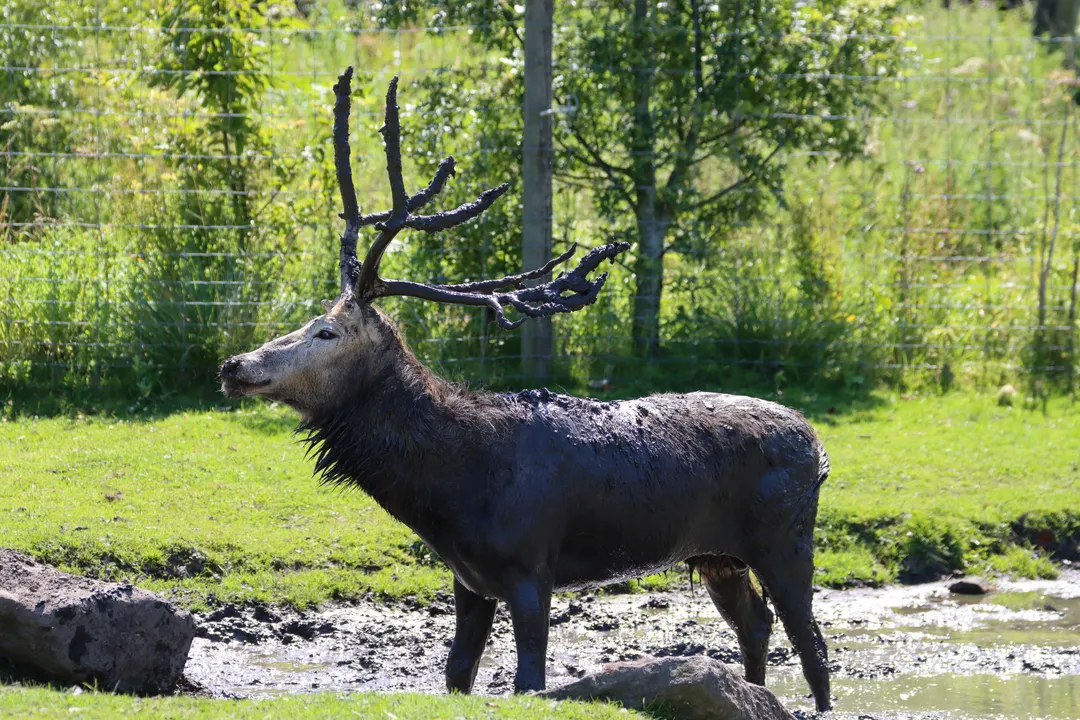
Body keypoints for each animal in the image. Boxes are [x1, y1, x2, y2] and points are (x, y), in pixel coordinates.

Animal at [219, 67, 832, 712]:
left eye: (326, 330)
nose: (234, 364)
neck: (450, 492)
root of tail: (819, 450)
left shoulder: (531, 566)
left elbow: (529, 680)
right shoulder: (469, 578)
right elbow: (456, 674)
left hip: (786, 538)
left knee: (811, 642)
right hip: (717, 552)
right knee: (756, 624)